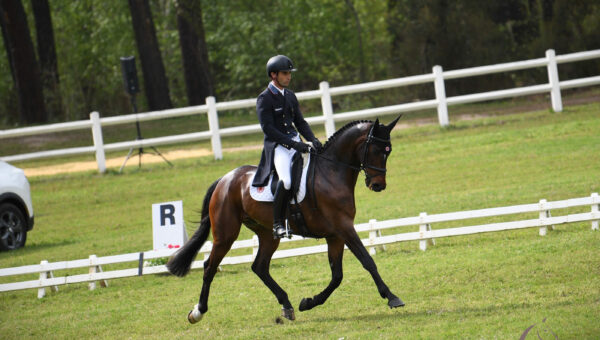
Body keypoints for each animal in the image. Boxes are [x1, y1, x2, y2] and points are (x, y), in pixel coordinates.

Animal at [166, 115, 406, 322]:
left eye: (389, 151)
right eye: (375, 149)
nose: (378, 185)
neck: (331, 172)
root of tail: (225, 179)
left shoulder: (335, 235)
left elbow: (337, 275)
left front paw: (308, 302)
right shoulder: (344, 228)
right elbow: (367, 260)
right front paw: (392, 297)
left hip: (267, 234)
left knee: (260, 267)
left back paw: (287, 305)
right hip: (226, 234)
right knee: (210, 266)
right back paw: (197, 312)